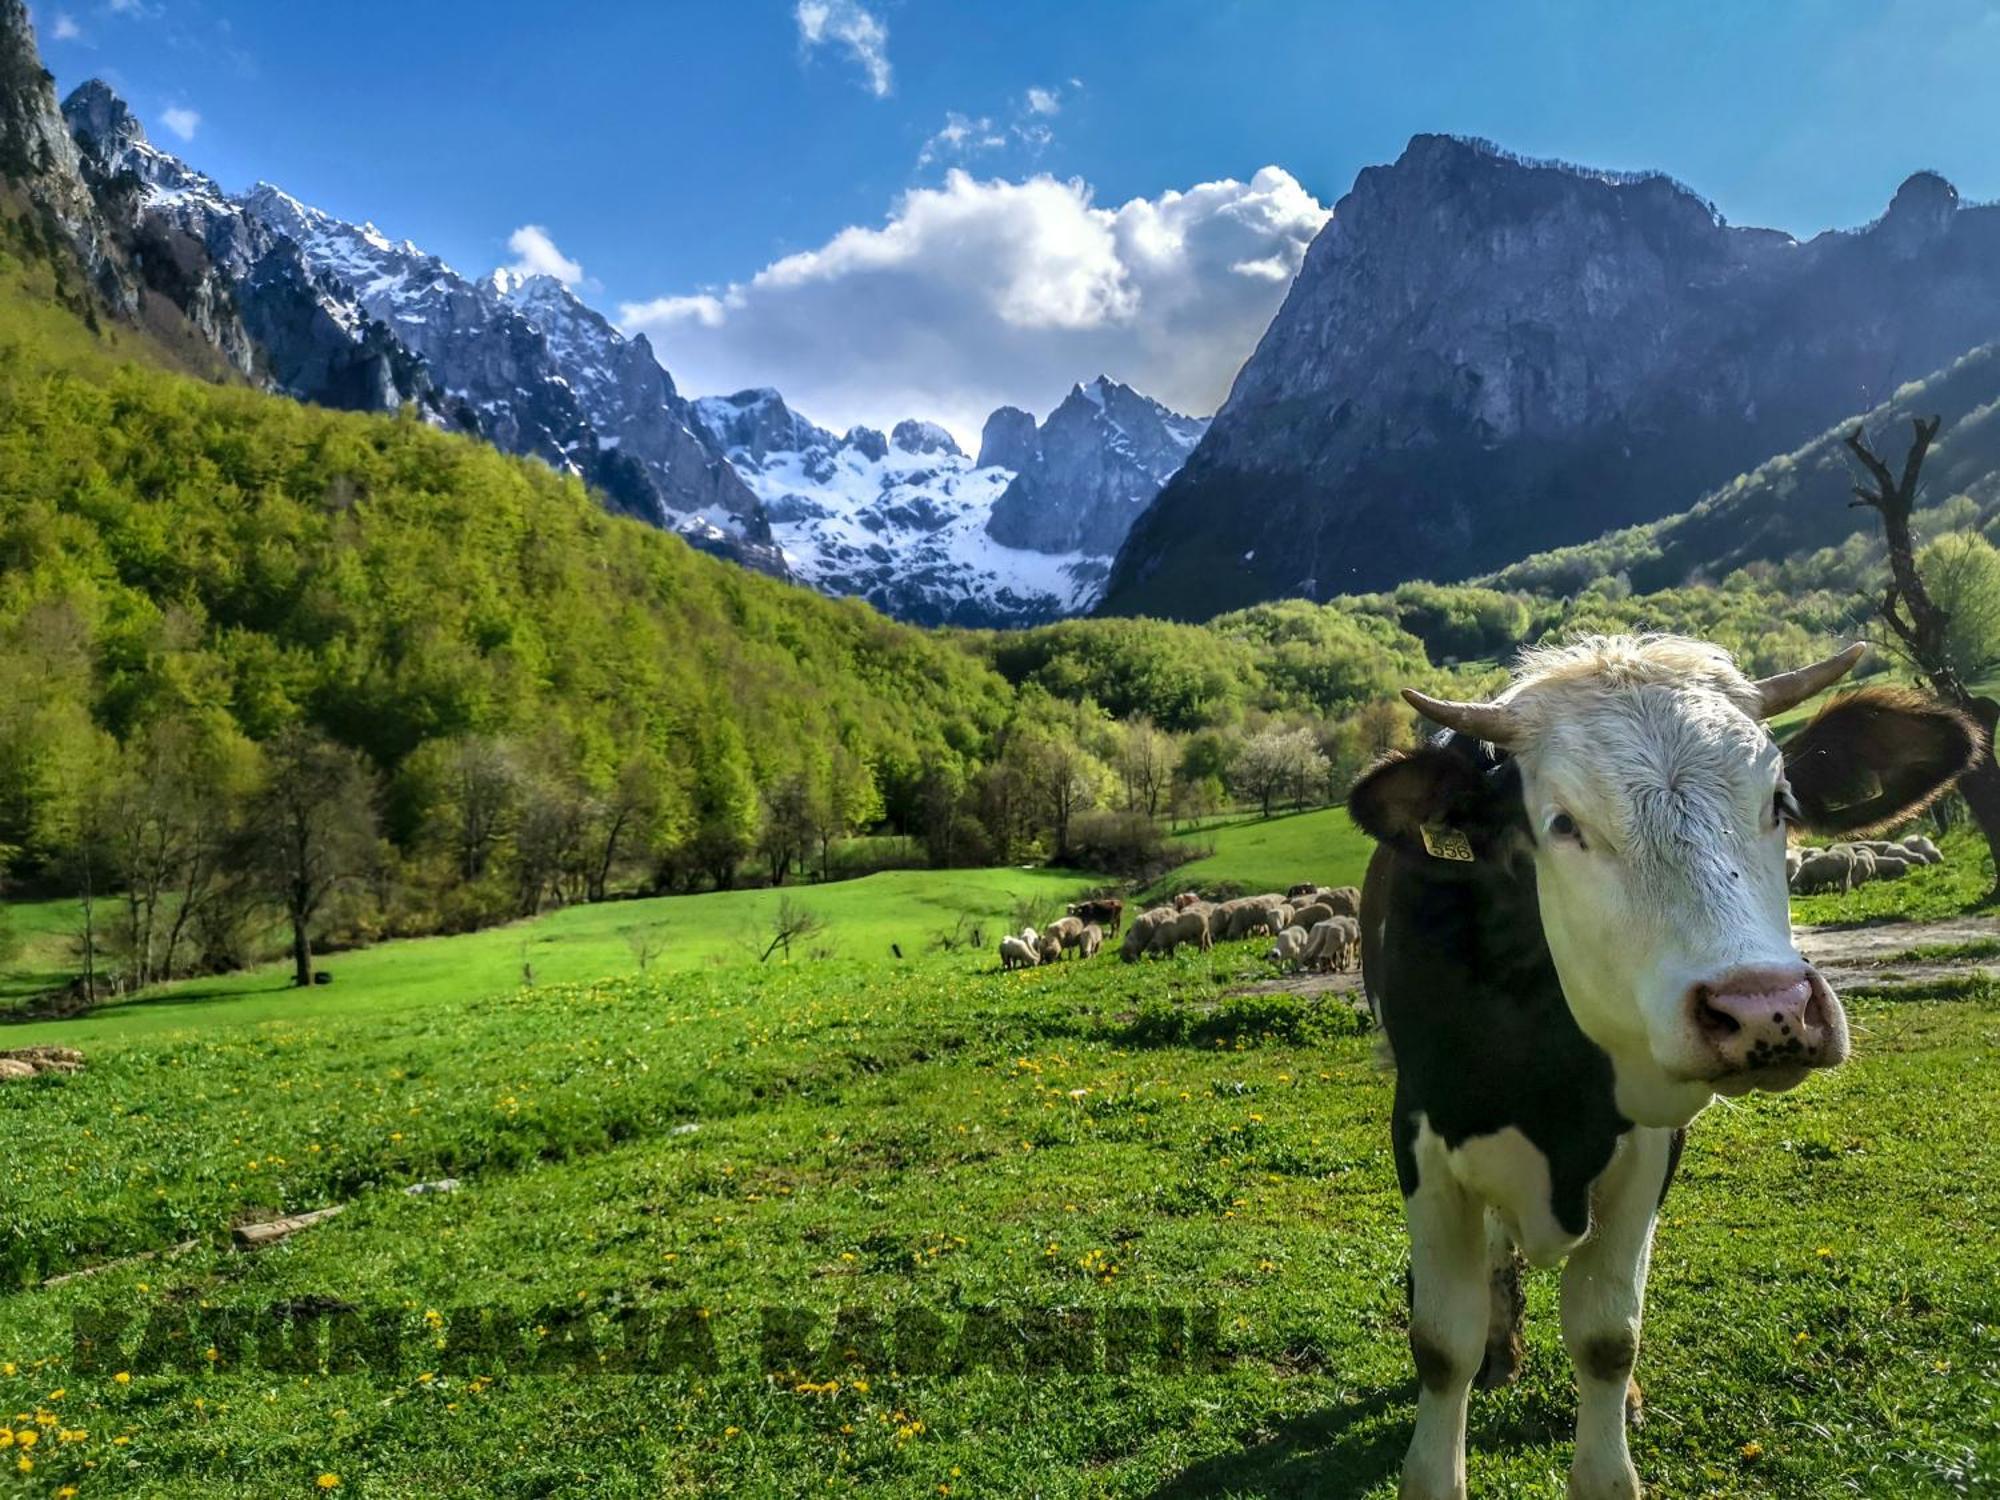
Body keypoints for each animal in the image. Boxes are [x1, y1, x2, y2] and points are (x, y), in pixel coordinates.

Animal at [1336, 640, 1976, 1500]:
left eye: (1781, 800)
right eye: (1563, 823)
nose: (1765, 1009)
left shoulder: (1649, 1146)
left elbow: (1608, 1332)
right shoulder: (1423, 1134)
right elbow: (1442, 1342)